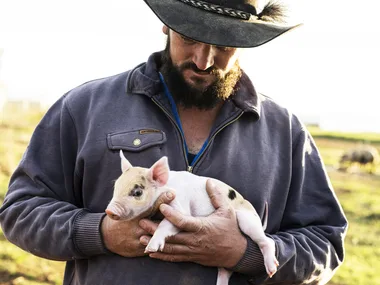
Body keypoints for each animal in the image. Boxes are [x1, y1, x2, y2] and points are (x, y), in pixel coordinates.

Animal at [105, 150, 278, 282]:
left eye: (137, 192)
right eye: (116, 187)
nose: (109, 211)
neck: (164, 188)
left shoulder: (180, 209)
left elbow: (166, 224)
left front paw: (150, 248)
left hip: (247, 220)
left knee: (268, 241)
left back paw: (271, 270)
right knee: (225, 270)